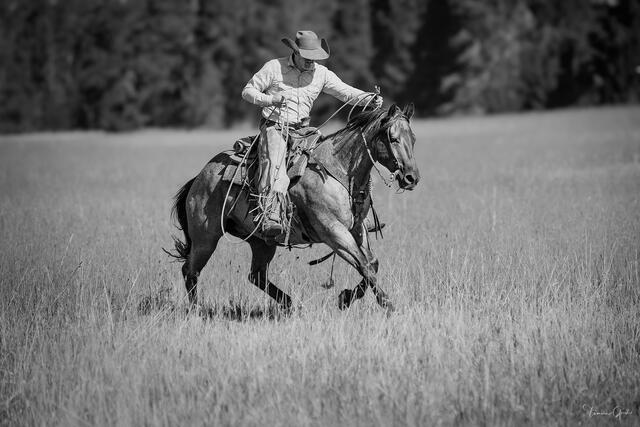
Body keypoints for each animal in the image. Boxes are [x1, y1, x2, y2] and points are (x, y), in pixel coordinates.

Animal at [169, 103, 419, 312]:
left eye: (413, 139)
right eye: (393, 138)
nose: (411, 177)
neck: (337, 171)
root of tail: (199, 178)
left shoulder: (358, 229)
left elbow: (372, 263)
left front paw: (346, 298)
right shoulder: (333, 232)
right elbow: (363, 264)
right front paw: (386, 304)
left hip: (261, 241)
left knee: (256, 275)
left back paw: (290, 304)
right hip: (206, 237)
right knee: (190, 271)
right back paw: (197, 311)